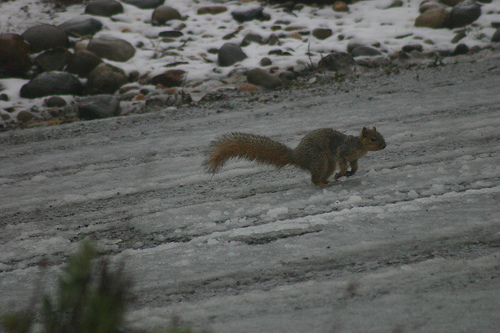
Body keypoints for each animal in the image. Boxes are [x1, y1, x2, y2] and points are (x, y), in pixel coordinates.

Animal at [203, 126, 386, 185]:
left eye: (380, 136)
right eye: (373, 139)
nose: (384, 145)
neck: (359, 146)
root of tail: (298, 156)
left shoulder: (354, 158)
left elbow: (355, 166)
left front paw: (351, 172)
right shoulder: (343, 152)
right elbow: (343, 163)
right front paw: (341, 173)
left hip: (326, 162)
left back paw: (327, 181)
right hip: (319, 159)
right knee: (314, 179)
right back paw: (324, 183)